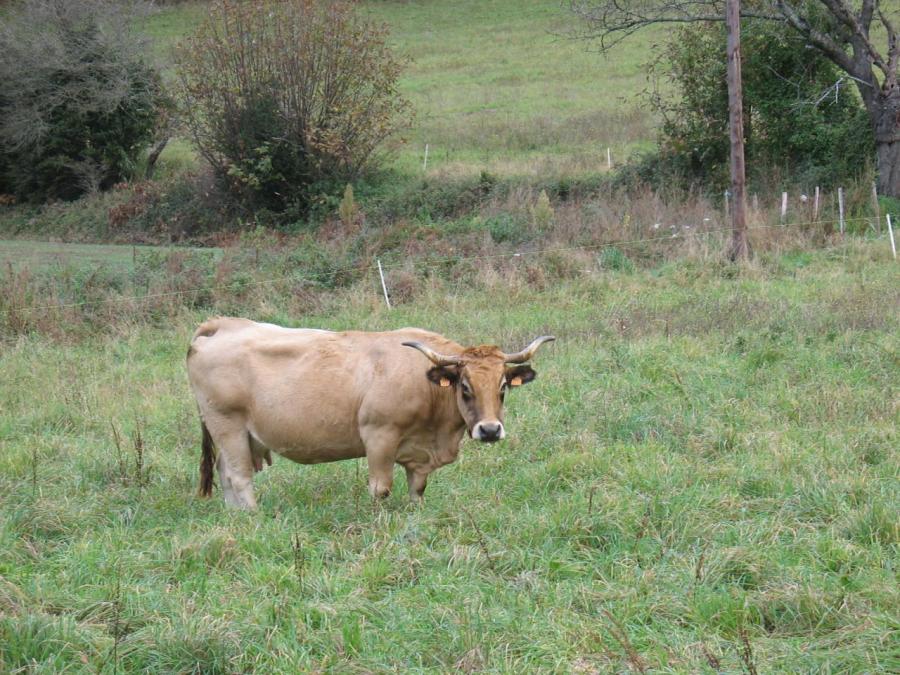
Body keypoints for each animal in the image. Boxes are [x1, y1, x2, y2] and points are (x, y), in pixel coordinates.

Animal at [185, 317, 554, 508]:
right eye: (465, 387)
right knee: (239, 476)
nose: (490, 430)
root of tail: (223, 324)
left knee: (225, 472)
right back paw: (254, 516)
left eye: (503, 387)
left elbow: (417, 489)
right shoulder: (379, 436)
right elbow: (381, 488)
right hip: (227, 425)